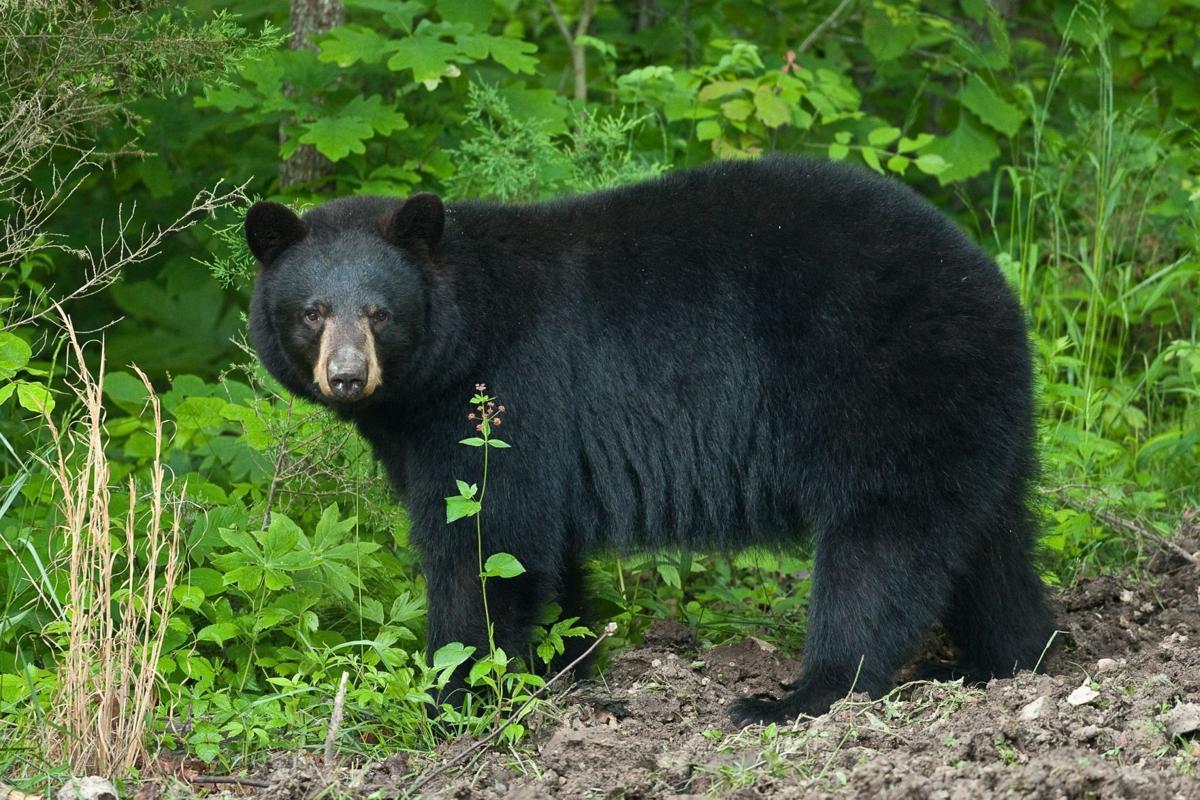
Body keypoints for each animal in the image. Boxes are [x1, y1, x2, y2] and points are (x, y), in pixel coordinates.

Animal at [244, 155, 1056, 725]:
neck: (455, 342)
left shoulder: (503, 396)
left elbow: (484, 539)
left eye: (379, 313)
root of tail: (987, 280)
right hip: (972, 413)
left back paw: (802, 694)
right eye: (313, 311)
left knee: (880, 546)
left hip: (883, 386)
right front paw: (561, 669)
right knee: (989, 539)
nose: (347, 377)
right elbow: (543, 552)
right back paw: (1006, 659)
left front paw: (457, 695)